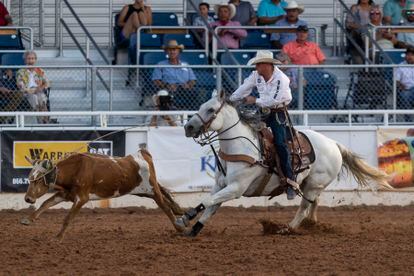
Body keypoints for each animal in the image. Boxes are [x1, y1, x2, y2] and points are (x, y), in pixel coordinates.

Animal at [175, 91, 392, 237]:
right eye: (201, 106)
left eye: (211, 109)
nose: (188, 127)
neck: (241, 147)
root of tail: (334, 144)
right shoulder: (221, 185)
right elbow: (211, 206)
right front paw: (192, 228)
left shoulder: (236, 188)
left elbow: (208, 201)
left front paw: (184, 217)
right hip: (310, 183)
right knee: (314, 202)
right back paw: (311, 224)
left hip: (314, 184)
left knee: (304, 206)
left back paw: (287, 229)